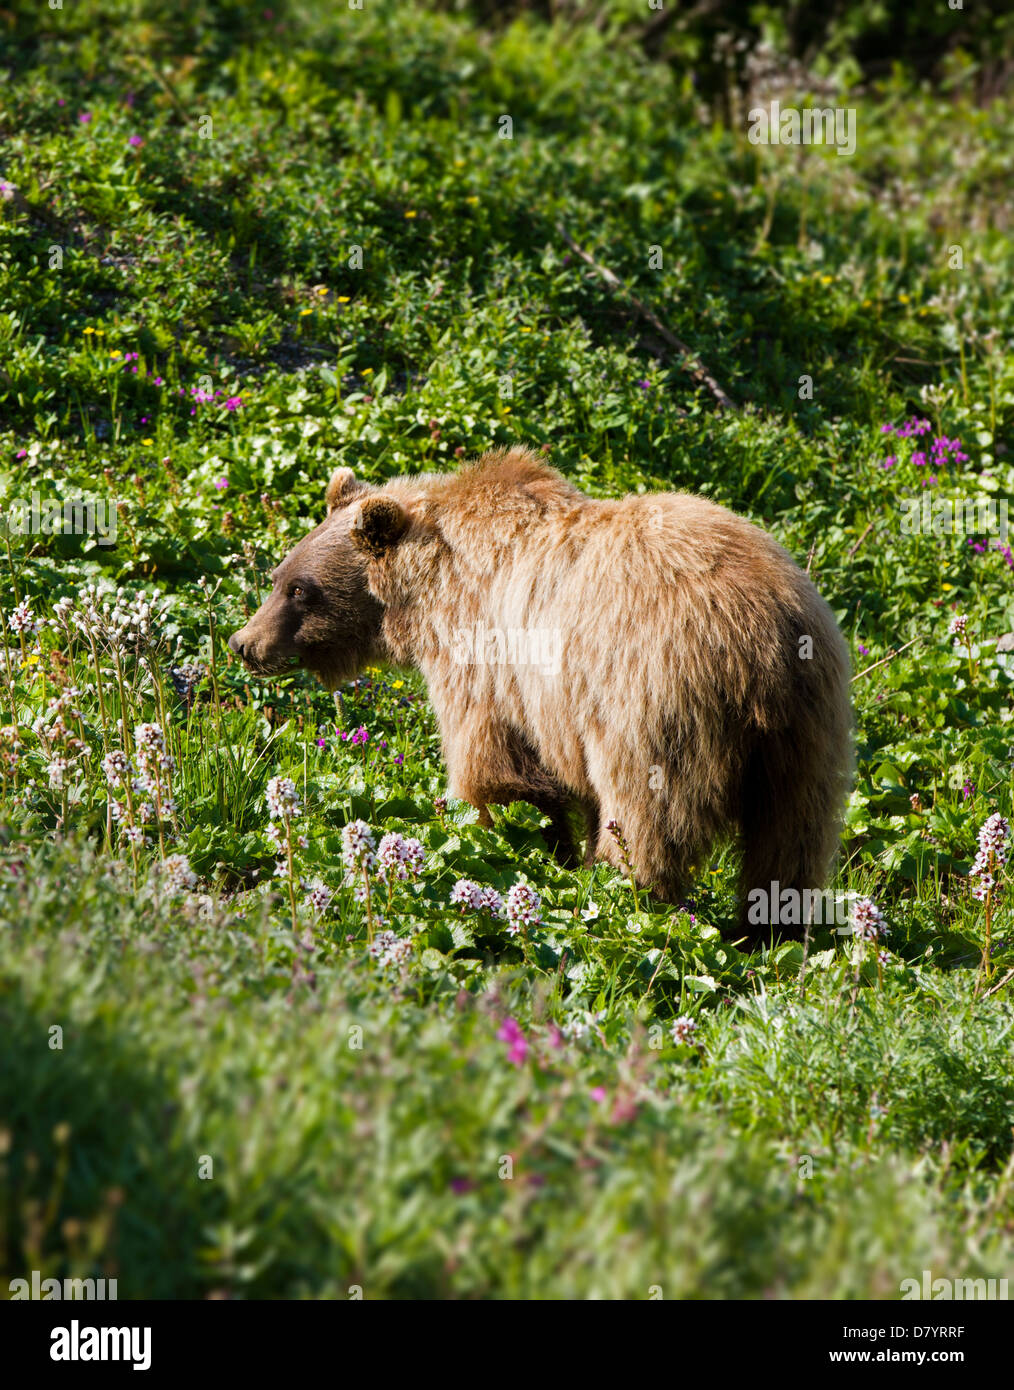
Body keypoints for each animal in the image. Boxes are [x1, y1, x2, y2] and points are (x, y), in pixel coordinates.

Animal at [225, 450, 851, 939]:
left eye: (301, 590)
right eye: (280, 577)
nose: (244, 643)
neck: (426, 590)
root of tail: (762, 637)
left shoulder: (489, 665)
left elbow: (496, 771)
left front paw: (508, 847)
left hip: (653, 700)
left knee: (648, 814)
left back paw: (622, 896)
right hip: (808, 728)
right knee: (792, 836)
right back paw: (771, 929)